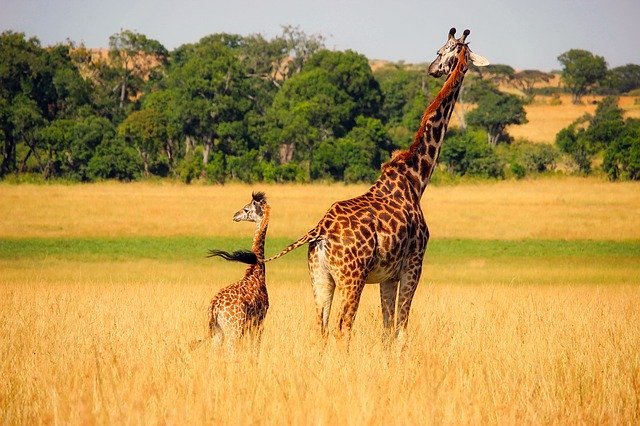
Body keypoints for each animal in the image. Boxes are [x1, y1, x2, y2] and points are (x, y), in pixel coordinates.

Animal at [198, 191, 270, 352]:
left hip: (218, 332)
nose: (235, 215)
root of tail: (214, 308)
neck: (256, 271)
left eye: (246, 209)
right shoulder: (259, 320)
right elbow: (255, 348)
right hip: (234, 330)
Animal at [268, 28, 488, 342]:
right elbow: (401, 329)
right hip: (352, 277)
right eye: (441, 50)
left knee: (321, 327)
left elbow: (386, 329)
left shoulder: (388, 276)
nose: (433, 69)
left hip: (321, 277)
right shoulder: (413, 265)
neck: (416, 178)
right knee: (343, 327)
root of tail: (319, 230)